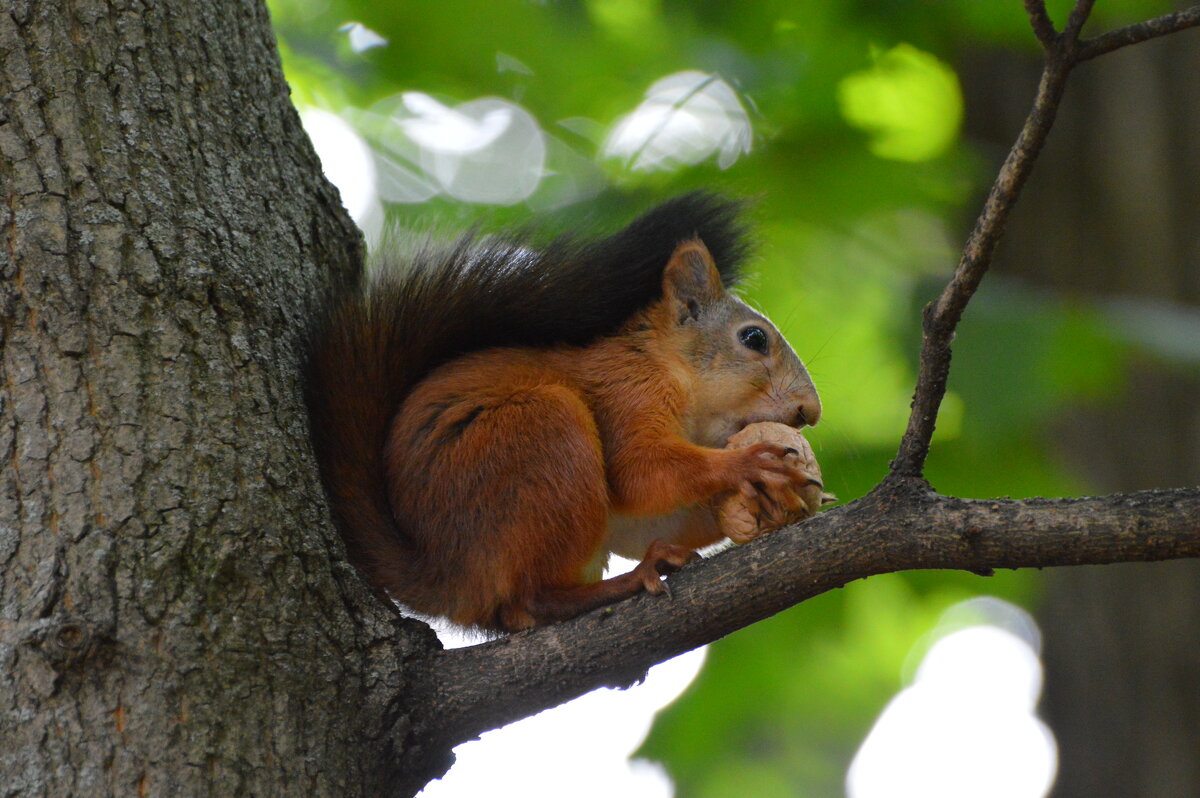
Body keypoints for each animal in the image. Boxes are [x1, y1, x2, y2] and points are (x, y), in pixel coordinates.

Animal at [304, 193, 820, 628]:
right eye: (753, 338)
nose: (809, 412)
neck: (665, 365)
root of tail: (447, 577)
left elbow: (652, 516)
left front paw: (763, 504)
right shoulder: (626, 392)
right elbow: (640, 470)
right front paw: (748, 464)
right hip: (541, 435)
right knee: (529, 601)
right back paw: (631, 579)